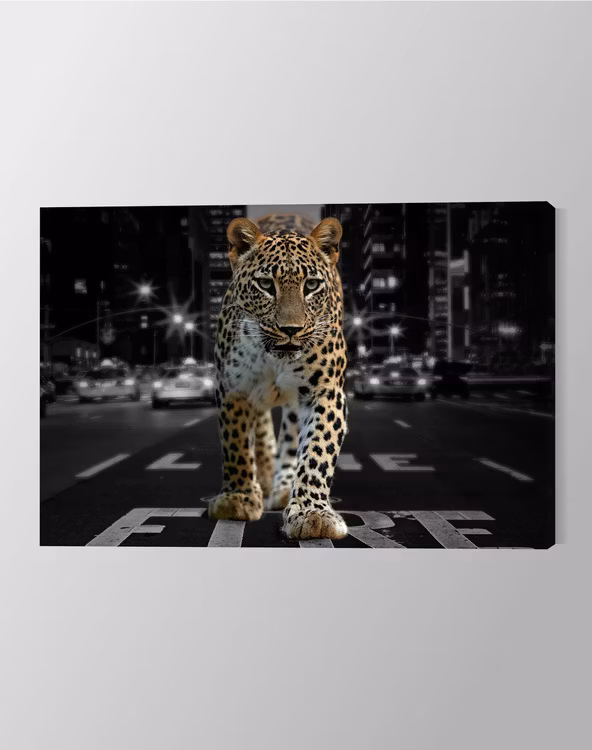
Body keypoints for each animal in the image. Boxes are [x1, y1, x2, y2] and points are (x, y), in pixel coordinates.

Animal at [208, 216, 350, 540]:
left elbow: (317, 450)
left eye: (311, 285)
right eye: (265, 285)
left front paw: (312, 513)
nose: (290, 329)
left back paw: (284, 487)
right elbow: (235, 443)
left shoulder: (326, 390)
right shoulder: (232, 388)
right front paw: (238, 498)